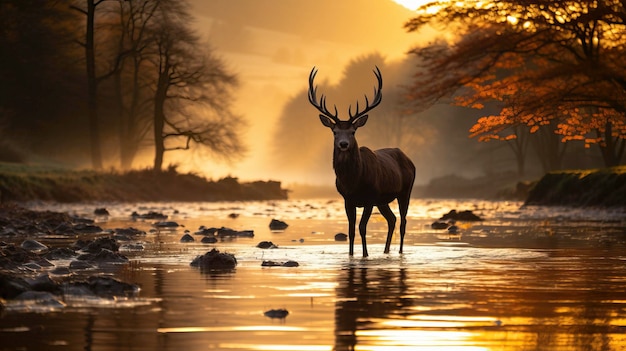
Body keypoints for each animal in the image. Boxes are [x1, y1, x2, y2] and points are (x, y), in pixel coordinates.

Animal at [308, 66, 414, 258]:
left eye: (353, 131)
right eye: (334, 131)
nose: (343, 144)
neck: (353, 182)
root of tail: (409, 160)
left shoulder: (370, 197)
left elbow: (362, 227)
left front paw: (365, 255)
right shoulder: (347, 199)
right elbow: (351, 229)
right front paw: (350, 255)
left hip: (405, 191)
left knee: (403, 221)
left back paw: (400, 252)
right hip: (383, 199)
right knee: (392, 219)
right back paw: (385, 251)